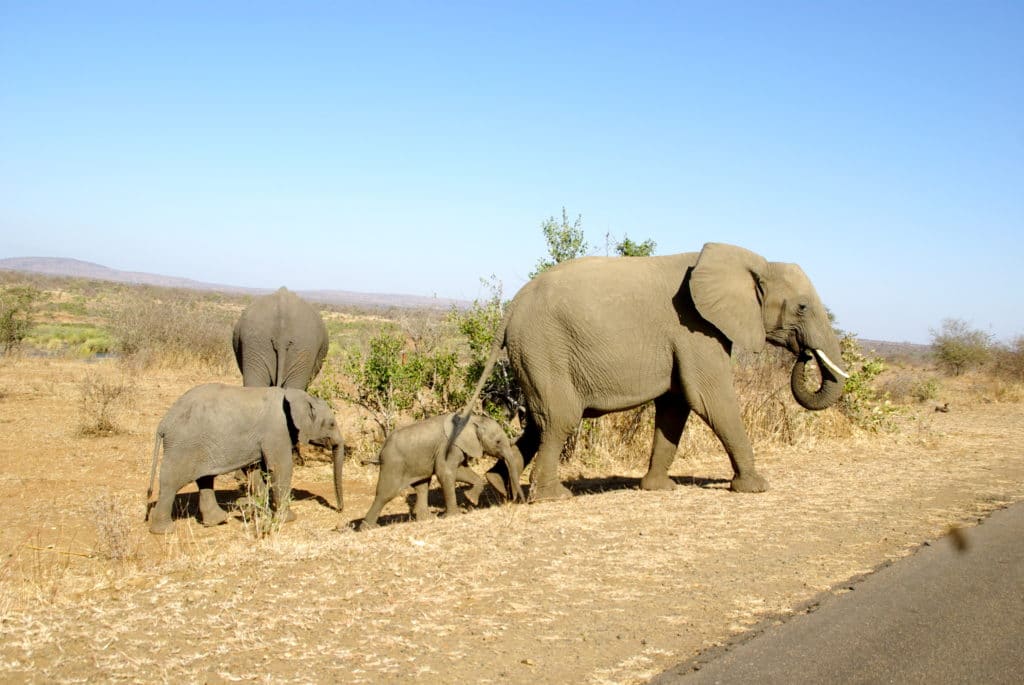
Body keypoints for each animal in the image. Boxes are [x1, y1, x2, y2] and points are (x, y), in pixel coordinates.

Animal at [146, 382, 344, 532]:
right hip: (183, 445)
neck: (296, 396)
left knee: (205, 479)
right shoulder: (277, 430)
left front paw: (262, 511)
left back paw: (218, 520)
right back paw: (164, 530)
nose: (340, 510)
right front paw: (288, 518)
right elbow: (280, 468)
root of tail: (163, 424)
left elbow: (256, 470)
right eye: (331, 424)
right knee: (171, 482)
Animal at [362, 411, 528, 528]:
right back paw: (368, 527)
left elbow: (461, 471)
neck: (472, 420)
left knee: (422, 486)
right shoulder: (449, 446)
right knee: (386, 493)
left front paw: (470, 500)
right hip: (393, 464)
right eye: (498, 442)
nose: (516, 500)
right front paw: (455, 515)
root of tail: (382, 447)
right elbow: (445, 472)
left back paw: (426, 519)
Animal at [462, 242, 847, 499]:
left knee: (539, 421)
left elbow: (676, 405)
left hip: (535, 355)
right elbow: (710, 399)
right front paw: (756, 487)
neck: (753, 262)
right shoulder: (695, 329)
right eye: (802, 307)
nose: (805, 357)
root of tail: (512, 307)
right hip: (545, 348)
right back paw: (552, 497)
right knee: (559, 418)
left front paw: (659, 488)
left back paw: (499, 485)